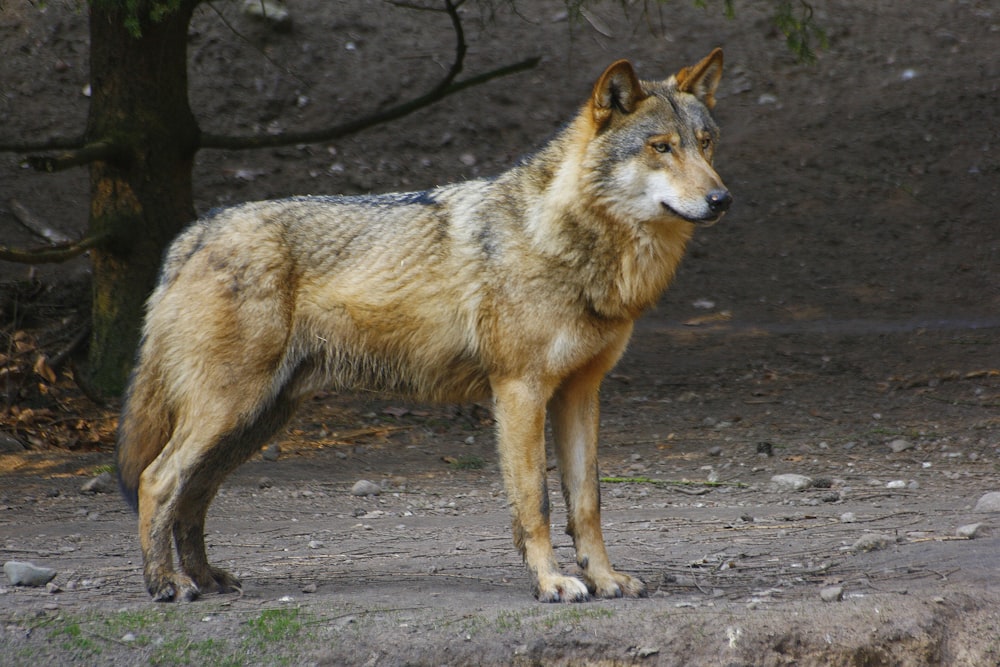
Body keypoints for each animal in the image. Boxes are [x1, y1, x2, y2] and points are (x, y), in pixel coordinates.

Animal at [117, 49, 732, 604]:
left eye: (704, 143)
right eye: (661, 147)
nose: (721, 199)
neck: (570, 243)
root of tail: (194, 233)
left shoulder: (581, 393)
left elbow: (587, 504)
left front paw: (604, 579)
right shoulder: (519, 391)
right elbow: (535, 504)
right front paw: (552, 583)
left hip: (255, 421)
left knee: (193, 496)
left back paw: (206, 579)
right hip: (230, 410)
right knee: (157, 480)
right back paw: (166, 584)